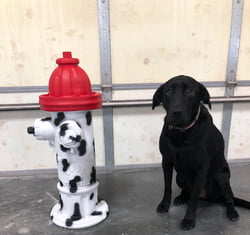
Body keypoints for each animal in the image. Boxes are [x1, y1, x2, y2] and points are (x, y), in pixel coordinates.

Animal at [152, 75, 250, 229]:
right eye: (168, 92)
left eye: (189, 91)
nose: (176, 112)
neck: (182, 133)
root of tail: (210, 197)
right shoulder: (166, 161)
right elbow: (167, 187)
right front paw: (164, 205)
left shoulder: (201, 169)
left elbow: (194, 199)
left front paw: (189, 219)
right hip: (180, 176)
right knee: (187, 191)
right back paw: (181, 197)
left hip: (221, 177)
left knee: (229, 199)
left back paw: (232, 212)